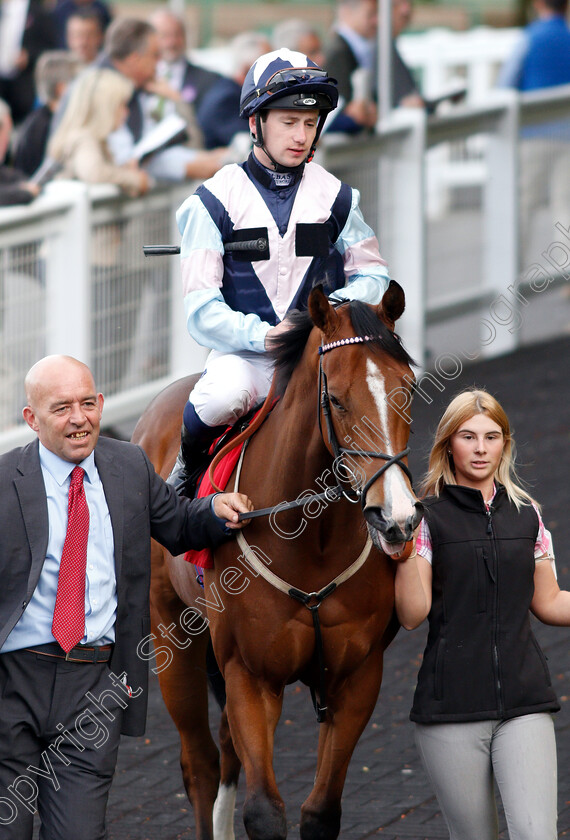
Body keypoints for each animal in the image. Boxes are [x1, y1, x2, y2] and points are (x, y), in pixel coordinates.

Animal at [131, 282, 420, 840]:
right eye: (336, 399)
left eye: (409, 389)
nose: (396, 518)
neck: (313, 543)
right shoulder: (250, 674)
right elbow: (264, 811)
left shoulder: (358, 675)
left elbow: (320, 811)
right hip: (170, 633)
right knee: (200, 763)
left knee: (225, 750)